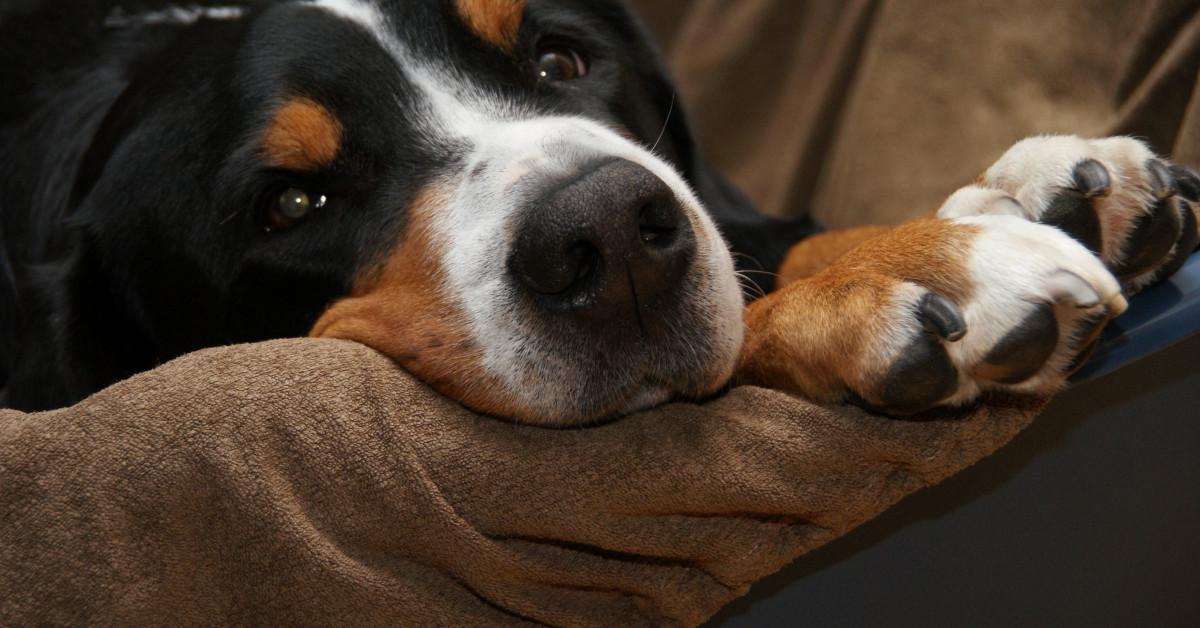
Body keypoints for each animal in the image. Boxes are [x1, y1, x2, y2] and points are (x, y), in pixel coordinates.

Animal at [2, 0, 1200, 425]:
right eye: (293, 203)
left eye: (559, 60)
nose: (612, 233)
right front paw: (901, 284)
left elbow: (772, 239)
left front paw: (1006, 205)